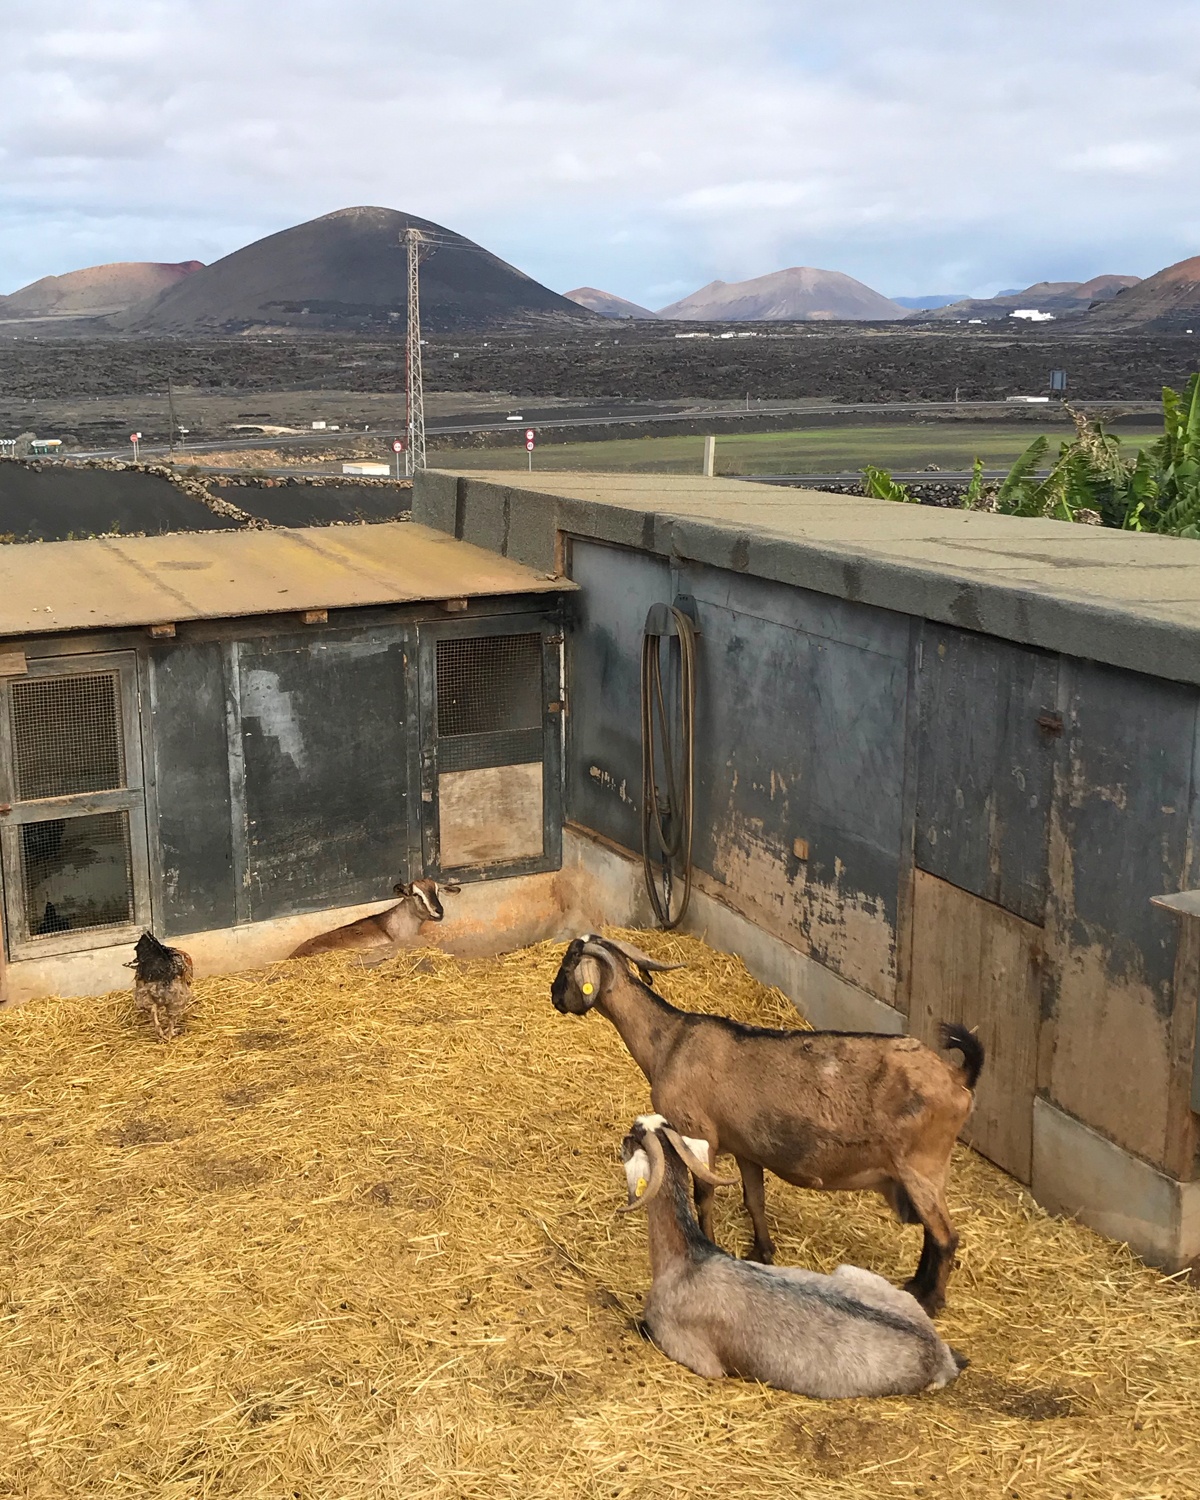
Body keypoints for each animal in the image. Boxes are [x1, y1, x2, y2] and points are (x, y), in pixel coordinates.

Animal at [552, 936, 984, 1314]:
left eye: (569, 964)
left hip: (920, 1166)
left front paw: (711, 1244)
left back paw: (930, 1300)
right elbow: (754, 1199)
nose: (555, 997)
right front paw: (761, 1251)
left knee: (945, 1236)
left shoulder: (697, 1135)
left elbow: (704, 1197)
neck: (671, 1042)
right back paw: (915, 1286)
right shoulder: (746, 1148)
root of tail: (956, 1075)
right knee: (933, 1231)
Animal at [618, 1116, 966, 1392]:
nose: (627, 1134)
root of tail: (938, 1353)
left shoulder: (695, 1354)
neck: (689, 1258)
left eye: (635, 1135)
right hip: (850, 1271)